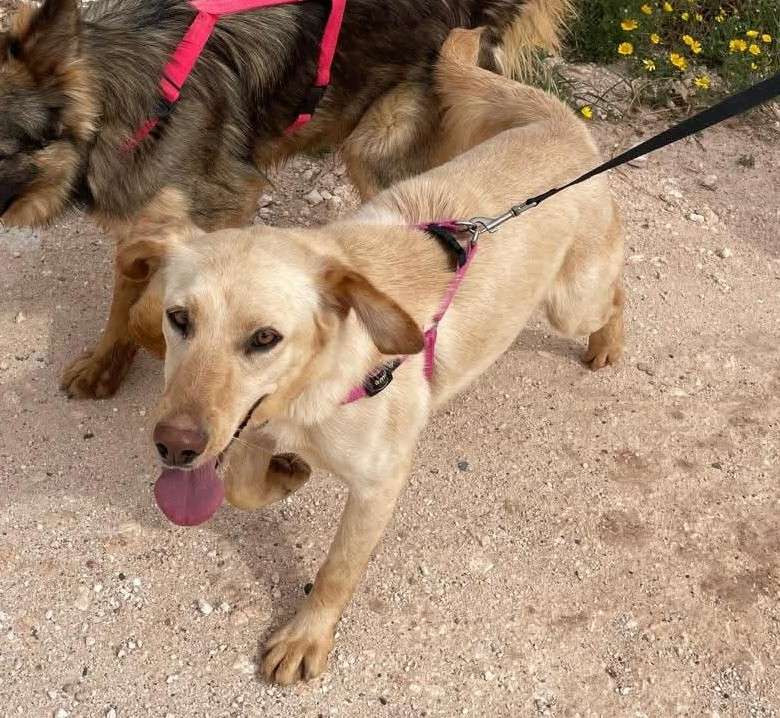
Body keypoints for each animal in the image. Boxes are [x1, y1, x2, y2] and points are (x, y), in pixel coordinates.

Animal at [0, 0, 572, 400]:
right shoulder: (142, 216)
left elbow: (150, 304)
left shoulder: (221, 206)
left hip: (377, 147)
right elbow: (125, 299)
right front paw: (105, 365)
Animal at [121, 27, 625, 683]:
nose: (175, 446)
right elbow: (240, 487)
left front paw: (307, 635)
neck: (318, 388)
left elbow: (337, 570)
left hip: (573, 301)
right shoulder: (251, 430)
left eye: (265, 338)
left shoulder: (377, 483)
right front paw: (288, 475)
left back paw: (608, 343)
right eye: (179, 319)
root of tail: (562, 122)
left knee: (615, 296)